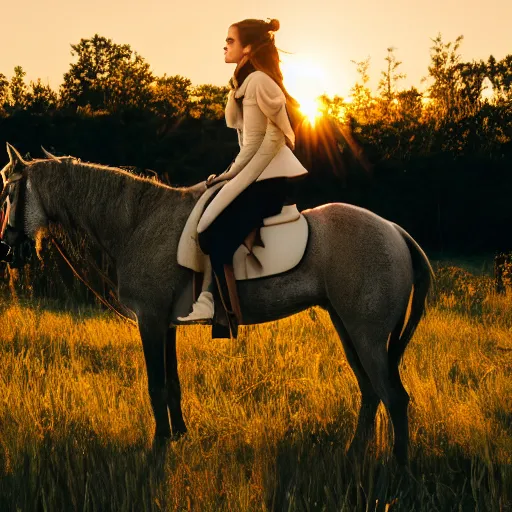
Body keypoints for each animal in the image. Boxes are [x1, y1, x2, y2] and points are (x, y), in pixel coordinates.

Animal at [0, 144, 434, 464]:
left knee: (393, 397)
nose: (7, 246)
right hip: (349, 328)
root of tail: (395, 231)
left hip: (367, 335)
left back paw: (397, 469)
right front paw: (178, 436)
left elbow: (156, 386)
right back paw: (354, 453)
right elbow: (172, 384)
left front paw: (158, 446)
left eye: (9, 194)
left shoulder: (150, 321)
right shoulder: (166, 324)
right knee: (371, 391)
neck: (138, 223)